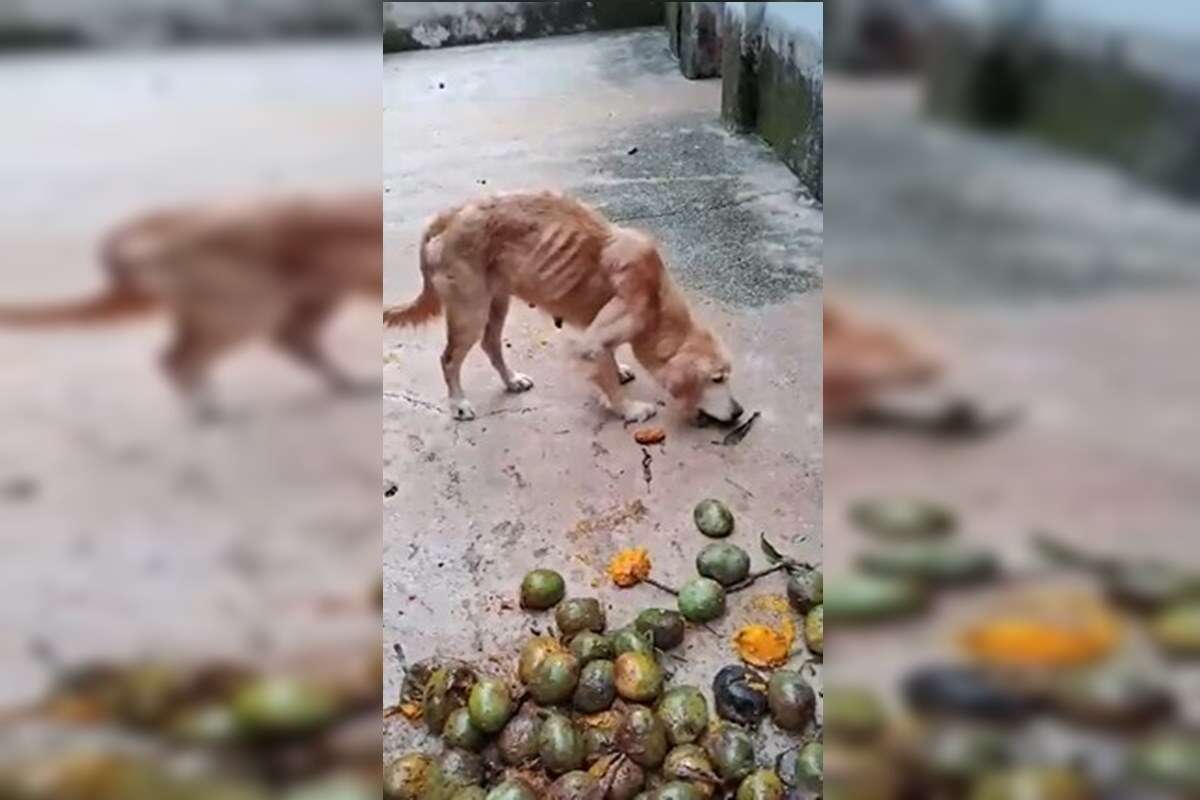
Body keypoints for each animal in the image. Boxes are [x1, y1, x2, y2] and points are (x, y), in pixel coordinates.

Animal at [0, 191, 379, 419]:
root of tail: (182, 221)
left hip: (301, 296)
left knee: (288, 343)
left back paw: (347, 385)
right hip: (245, 309)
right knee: (179, 358)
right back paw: (207, 412)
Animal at [384, 191, 739, 424]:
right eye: (716, 379)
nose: (739, 413)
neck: (656, 299)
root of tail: (448, 215)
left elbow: (608, 359)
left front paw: (617, 371)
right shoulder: (599, 335)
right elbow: (607, 375)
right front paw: (628, 409)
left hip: (497, 302)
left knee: (491, 344)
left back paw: (511, 380)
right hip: (470, 311)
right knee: (448, 360)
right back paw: (458, 403)